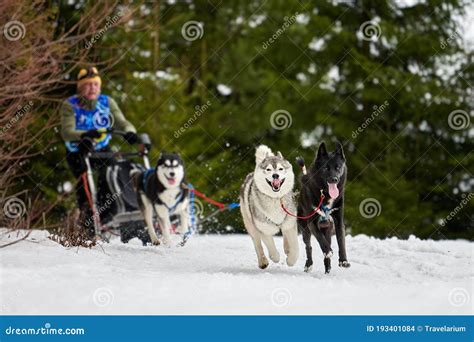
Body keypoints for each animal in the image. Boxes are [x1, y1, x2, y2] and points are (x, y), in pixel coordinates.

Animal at [298, 142, 350, 276]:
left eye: (338, 168)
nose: (334, 179)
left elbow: (341, 241)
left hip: (328, 229)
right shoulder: (311, 222)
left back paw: (328, 269)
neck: (325, 195)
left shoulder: (338, 221)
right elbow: (320, 239)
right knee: (308, 246)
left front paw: (343, 261)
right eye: (326, 168)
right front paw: (328, 251)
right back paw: (309, 264)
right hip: (304, 228)